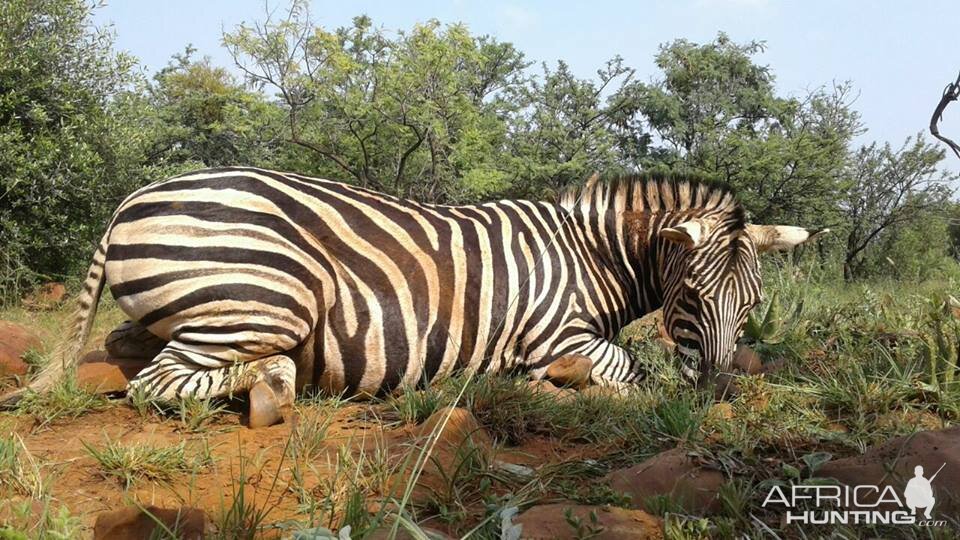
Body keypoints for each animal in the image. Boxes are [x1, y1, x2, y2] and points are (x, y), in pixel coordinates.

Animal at [3, 167, 820, 424]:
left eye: (750, 307)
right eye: (692, 299)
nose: (714, 398)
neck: (587, 257)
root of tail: (133, 197)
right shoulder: (552, 333)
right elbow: (629, 370)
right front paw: (565, 387)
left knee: (125, 352)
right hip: (271, 295)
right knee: (161, 381)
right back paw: (270, 389)